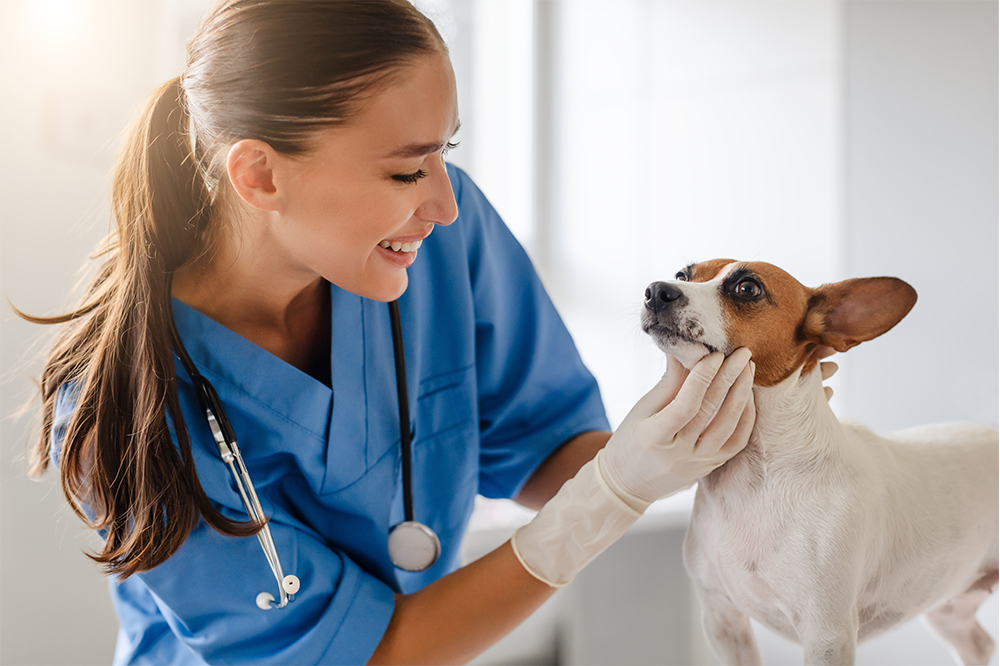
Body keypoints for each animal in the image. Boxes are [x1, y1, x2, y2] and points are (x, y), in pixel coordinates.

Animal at [640, 260, 1000, 664]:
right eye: (683, 275)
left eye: (747, 289)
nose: (656, 291)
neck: (758, 474)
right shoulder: (723, 621)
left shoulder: (826, 634)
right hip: (949, 612)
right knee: (980, 643)